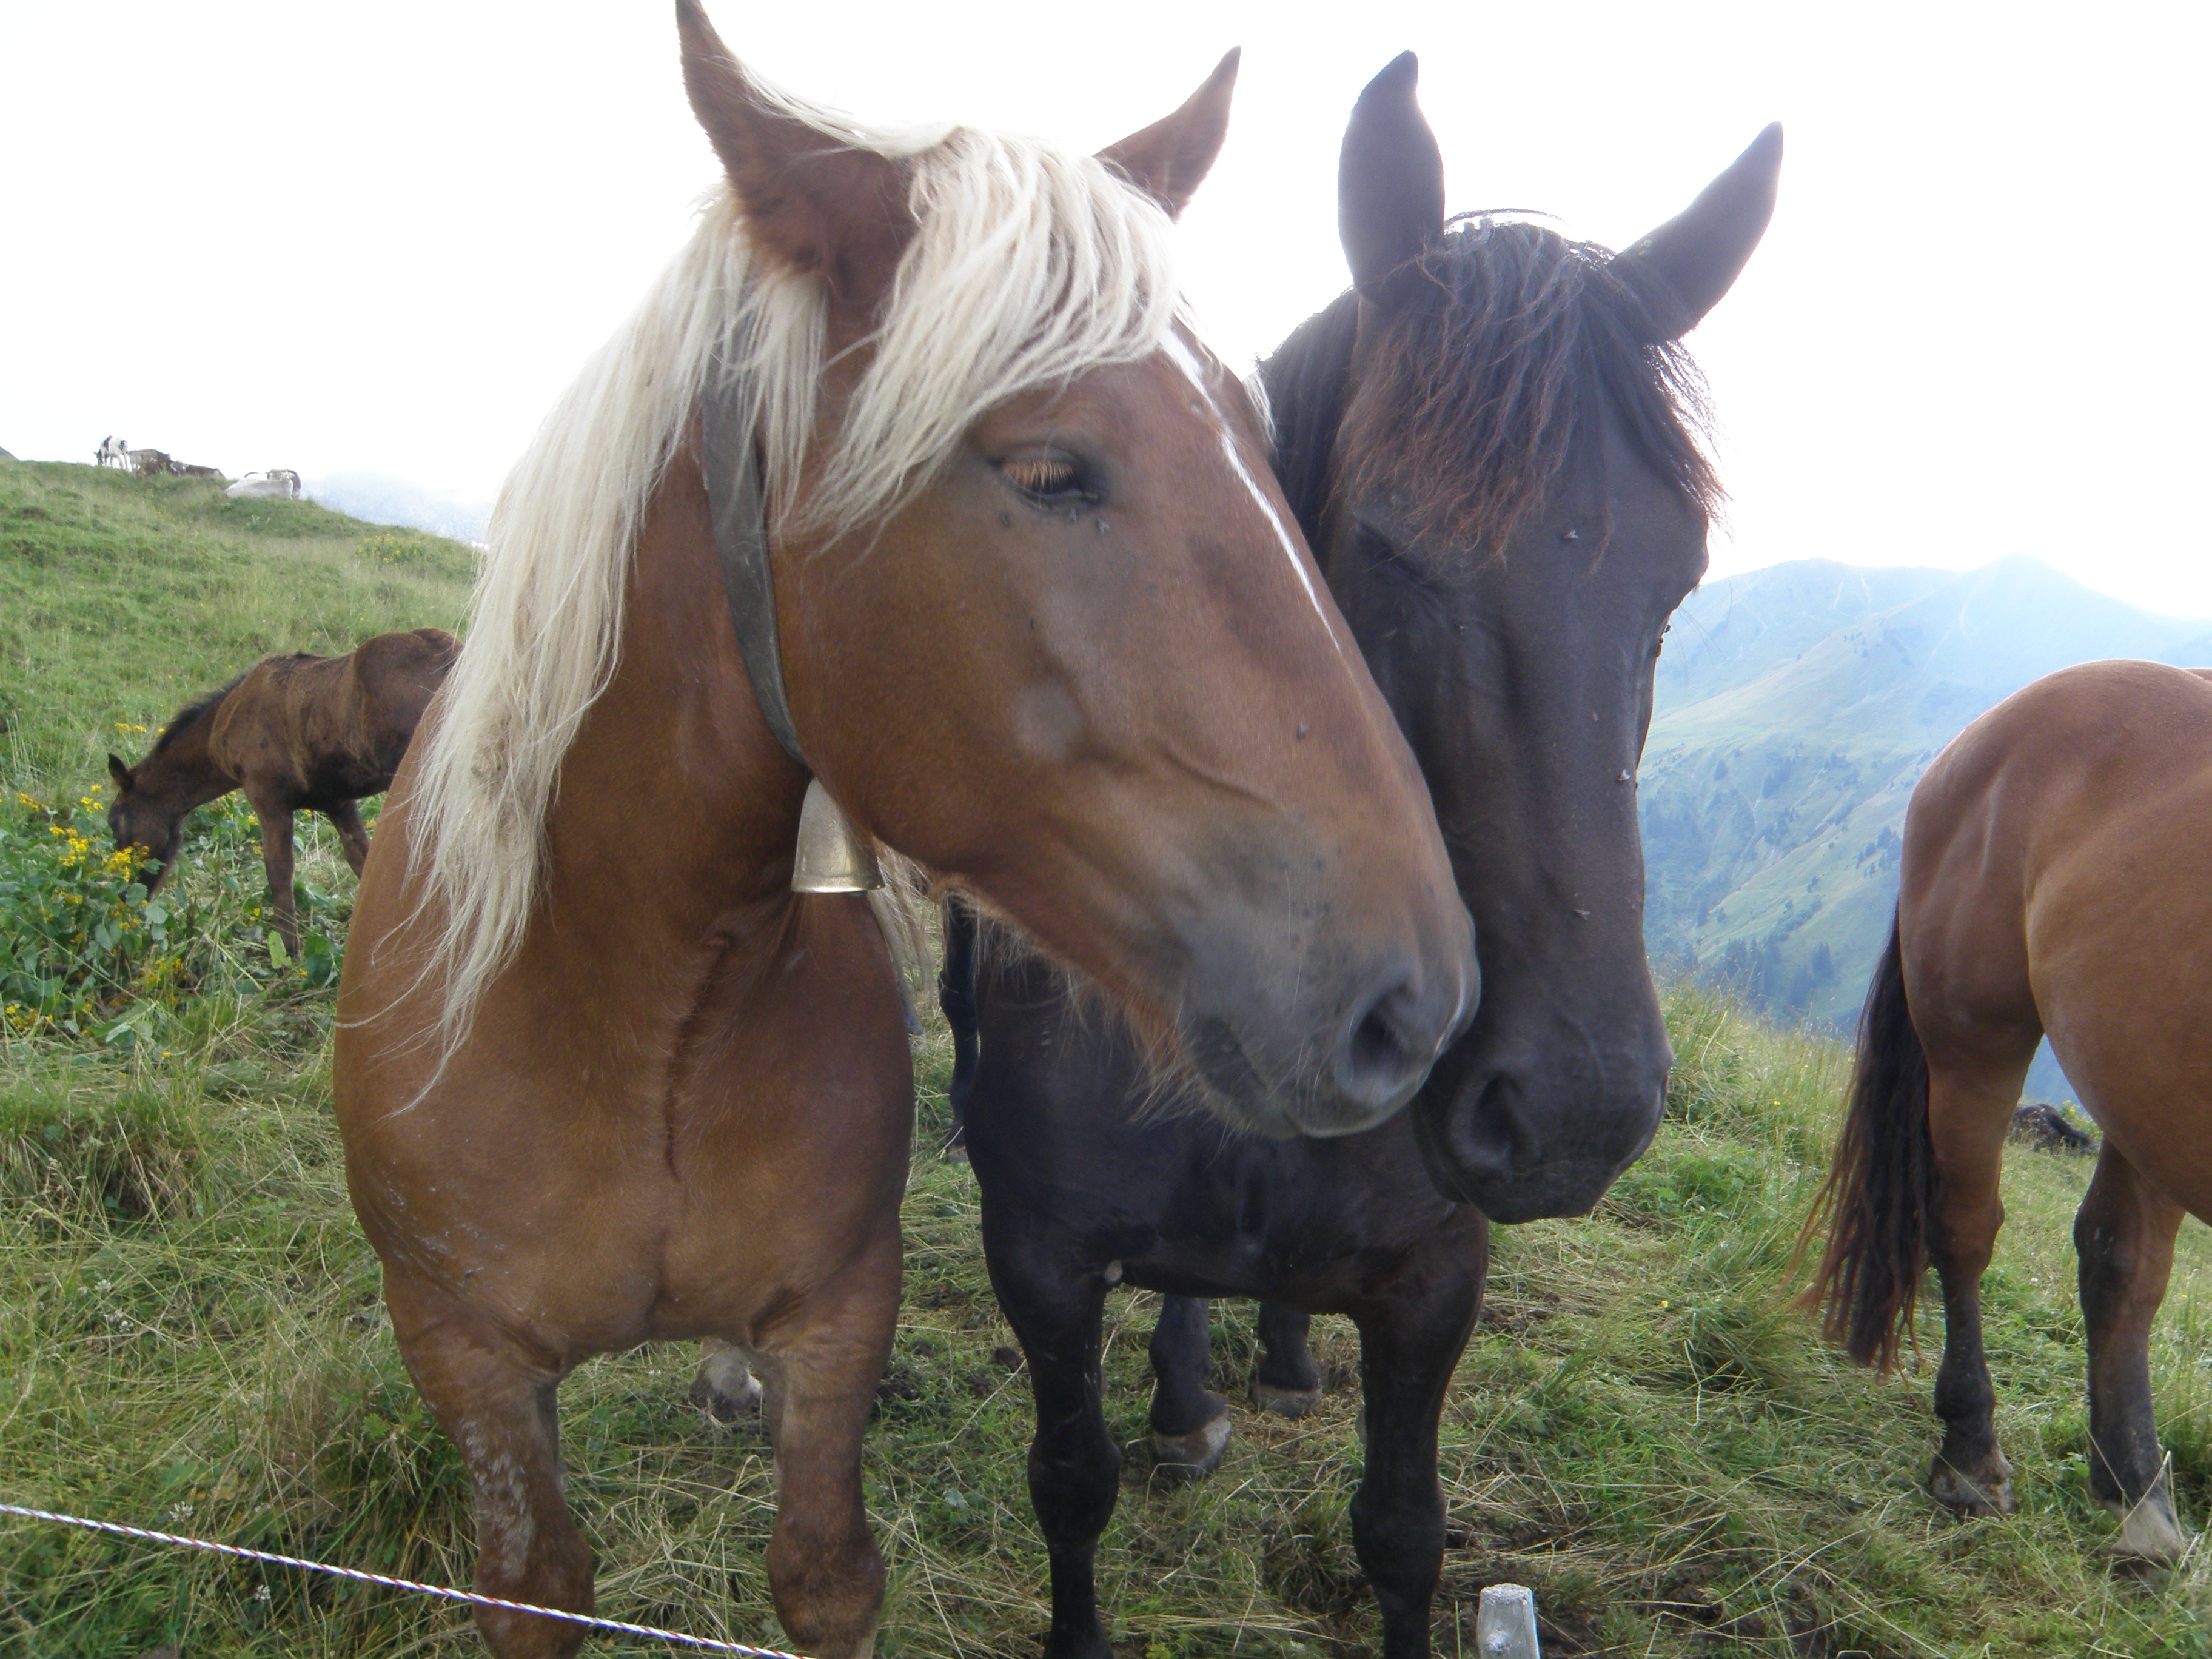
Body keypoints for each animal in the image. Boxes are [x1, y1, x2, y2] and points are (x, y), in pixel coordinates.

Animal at [106, 627, 456, 956]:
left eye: (114, 820)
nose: (126, 894)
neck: (225, 720)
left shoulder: (268, 797)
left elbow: (279, 870)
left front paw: (289, 949)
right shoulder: (337, 802)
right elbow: (362, 858)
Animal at [332, 8, 1475, 1657]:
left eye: (1267, 450)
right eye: (1048, 468)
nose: (1419, 1002)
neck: (621, 998)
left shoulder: (836, 1318)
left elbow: (824, 1568)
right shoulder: (471, 1366)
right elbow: (537, 1584)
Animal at [940, 55, 1780, 1659]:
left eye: (1676, 583)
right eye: (1385, 549)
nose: (1575, 1108)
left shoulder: (1431, 1283)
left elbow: (1402, 1533)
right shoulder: (1041, 1256)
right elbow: (1068, 1482)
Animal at [1802, 658, 2212, 1564]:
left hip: (2138, 1078)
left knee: (2119, 1261)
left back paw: (2138, 1493)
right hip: (1975, 1043)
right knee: (1963, 1228)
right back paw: (1970, 1451)